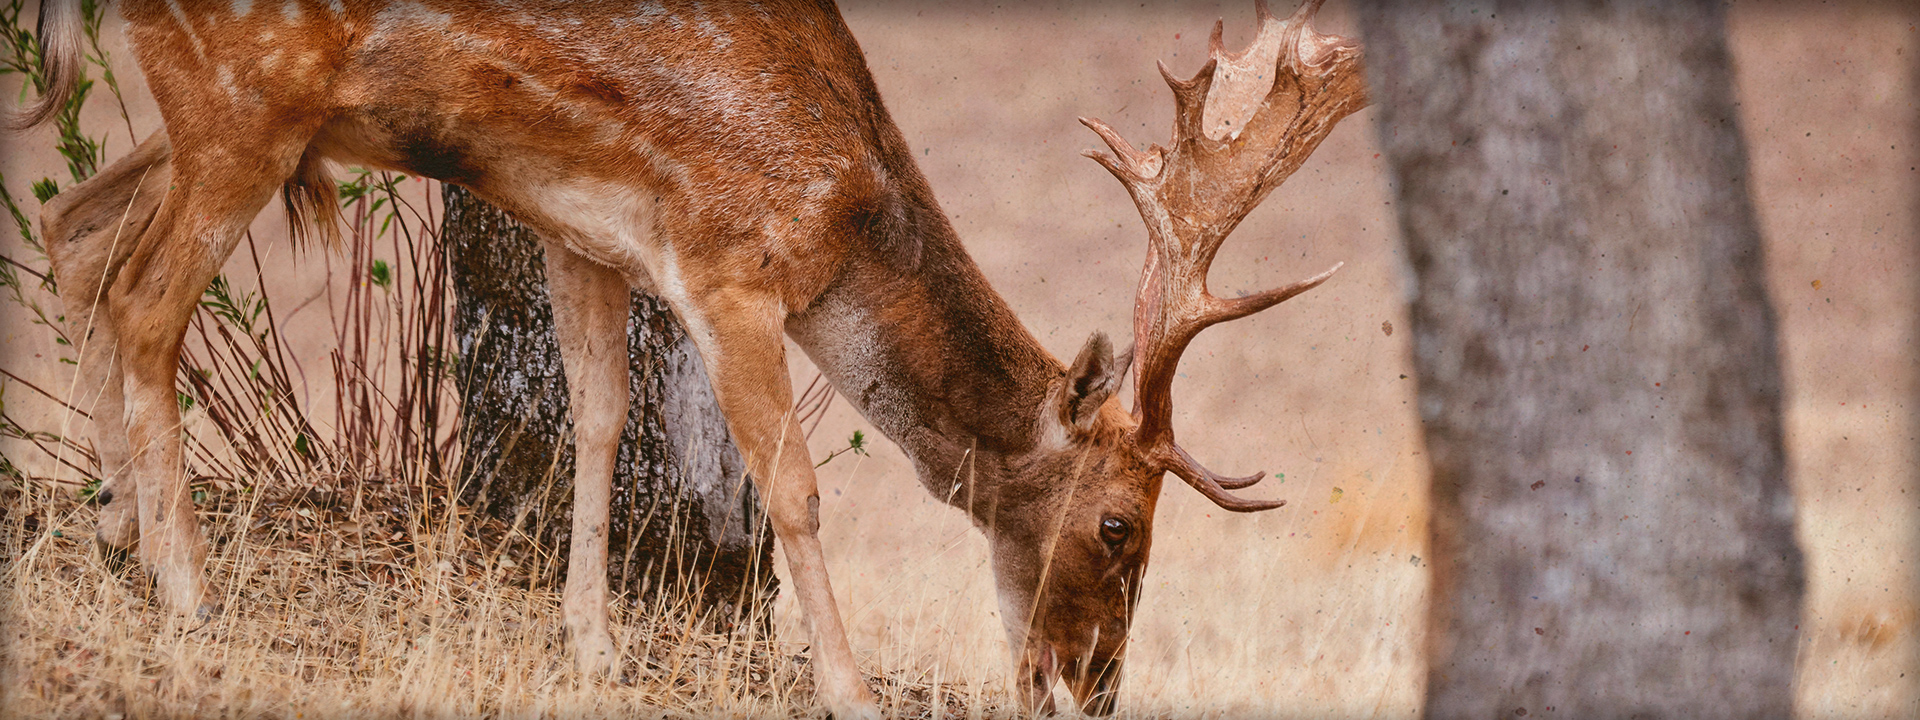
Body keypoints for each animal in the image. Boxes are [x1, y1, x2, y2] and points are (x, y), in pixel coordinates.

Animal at [14, 0, 1367, 715]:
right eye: (1119, 525)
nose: (1089, 684)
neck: (842, 218)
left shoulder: (584, 227)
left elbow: (602, 414)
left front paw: (592, 646)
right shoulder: (729, 264)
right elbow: (794, 487)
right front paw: (848, 689)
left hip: (223, 118)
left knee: (73, 229)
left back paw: (113, 522)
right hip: (246, 92)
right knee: (142, 300)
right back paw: (185, 587)